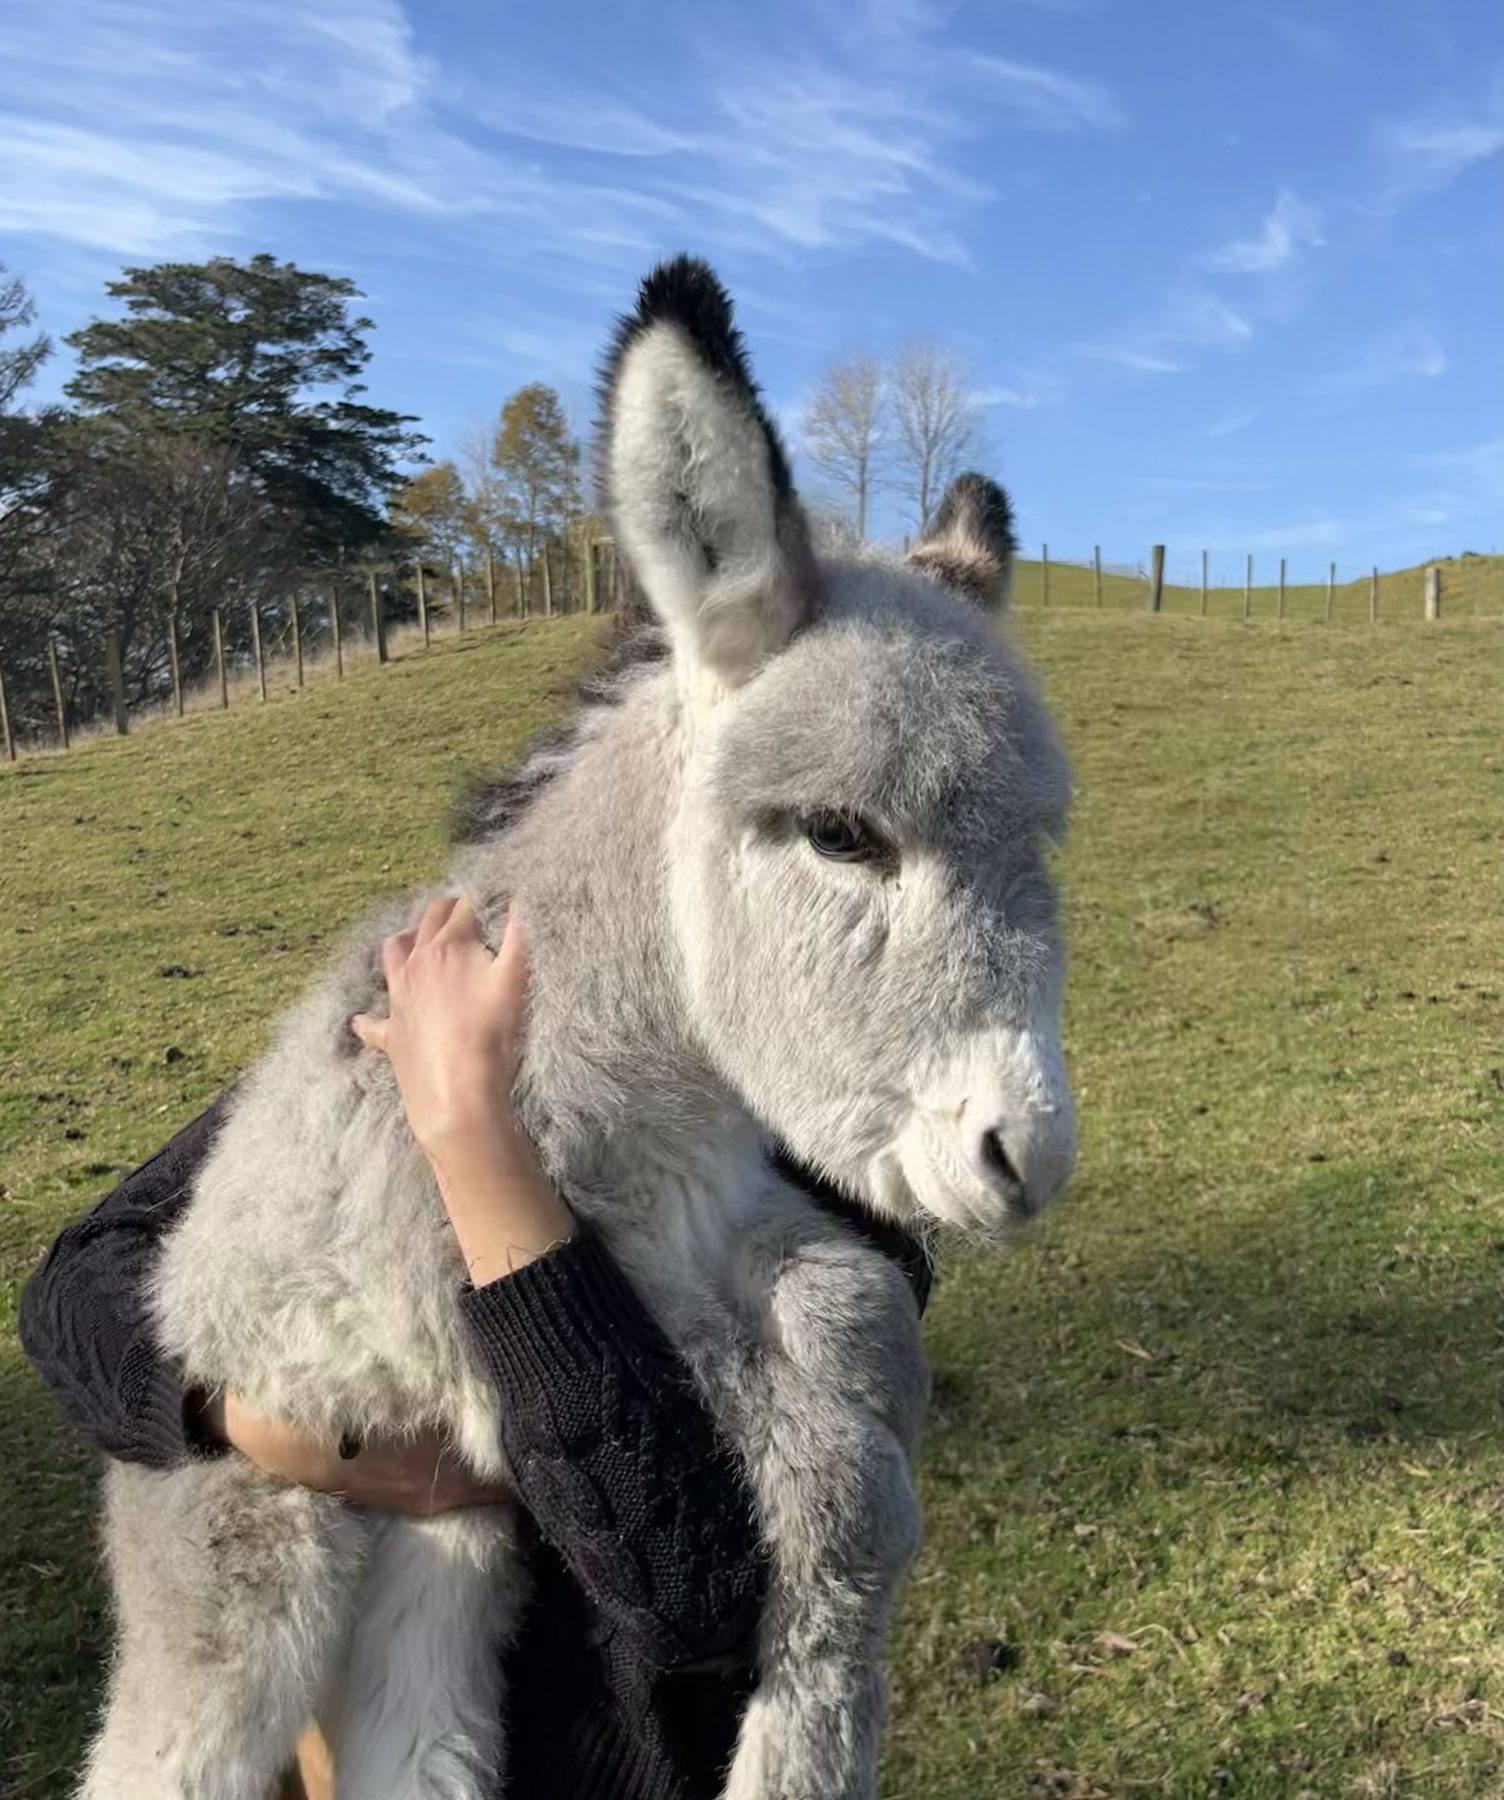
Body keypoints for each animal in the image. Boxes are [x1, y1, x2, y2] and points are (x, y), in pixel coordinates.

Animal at [85, 257, 1072, 1800]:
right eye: (841, 834)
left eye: (1041, 847)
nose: (1025, 1157)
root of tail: (178, 1298)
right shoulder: (512, 1315)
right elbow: (782, 1424)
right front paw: (799, 1732)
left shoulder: (754, 1226)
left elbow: (849, 1321)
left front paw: (816, 1715)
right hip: (252, 1556)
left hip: (443, 1563)